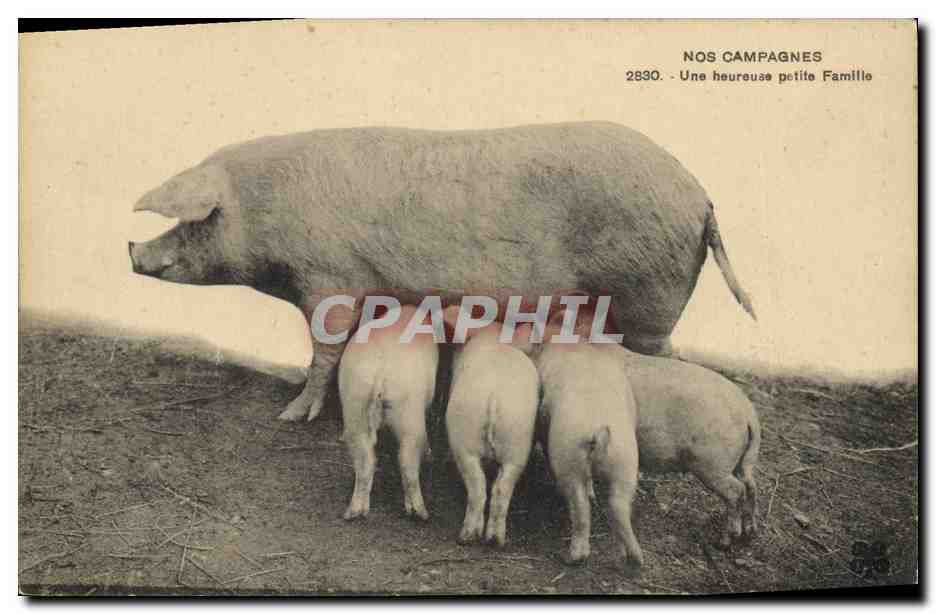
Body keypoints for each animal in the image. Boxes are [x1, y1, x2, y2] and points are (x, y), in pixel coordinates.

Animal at [128, 122, 756, 423]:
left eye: (194, 221)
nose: (131, 252)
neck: (263, 209)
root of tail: (701, 194)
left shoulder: (329, 280)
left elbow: (326, 348)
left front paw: (291, 415)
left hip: (649, 294)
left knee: (665, 358)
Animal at [338, 305, 437, 521]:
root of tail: (379, 373)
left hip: (355, 405)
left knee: (364, 460)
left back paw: (355, 512)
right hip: (409, 413)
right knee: (407, 460)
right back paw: (420, 513)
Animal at [444, 318, 540, 546]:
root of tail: (494, 397)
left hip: (465, 437)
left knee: (480, 487)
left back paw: (471, 537)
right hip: (516, 442)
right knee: (497, 488)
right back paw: (493, 539)